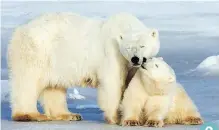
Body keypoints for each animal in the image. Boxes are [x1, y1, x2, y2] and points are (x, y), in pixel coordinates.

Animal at [7, 12, 160, 123]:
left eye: (142, 46)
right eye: (128, 47)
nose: (135, 58)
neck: (124, 26)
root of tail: (19, 29)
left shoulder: (129, 65)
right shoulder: (112, 53)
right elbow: (113, 82)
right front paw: (116, 118)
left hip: (55, 61)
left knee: (54, 86)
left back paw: (69, 115)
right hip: (36, 51)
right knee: (27, 81)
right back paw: (29, 115)